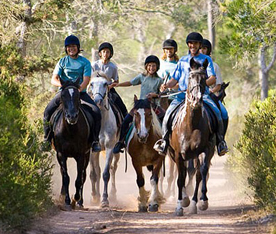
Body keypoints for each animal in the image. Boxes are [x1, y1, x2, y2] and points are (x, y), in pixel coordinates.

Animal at [51, 78, 91, 210]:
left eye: (78, 95)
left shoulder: (81, 155)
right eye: (63, 95)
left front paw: (76, 198)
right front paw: (67, 200)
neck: (70, 131)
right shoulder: (61, 154)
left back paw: (80, 201)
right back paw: (63, 195)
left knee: (83, 175)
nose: (72, 116)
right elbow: (66, 177)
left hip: (87, 155)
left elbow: (79, 179)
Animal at [167, 58, 217, 216]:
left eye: (205, 78)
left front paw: (200, 202)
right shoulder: (178, 154)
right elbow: (180, 179)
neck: (191, 124)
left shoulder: (204, 150)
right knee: (182, 174)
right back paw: (184, 198)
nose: (196, 99)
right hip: (173, 154)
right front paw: (179, 205)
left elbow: (201, 174)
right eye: (190, 77)